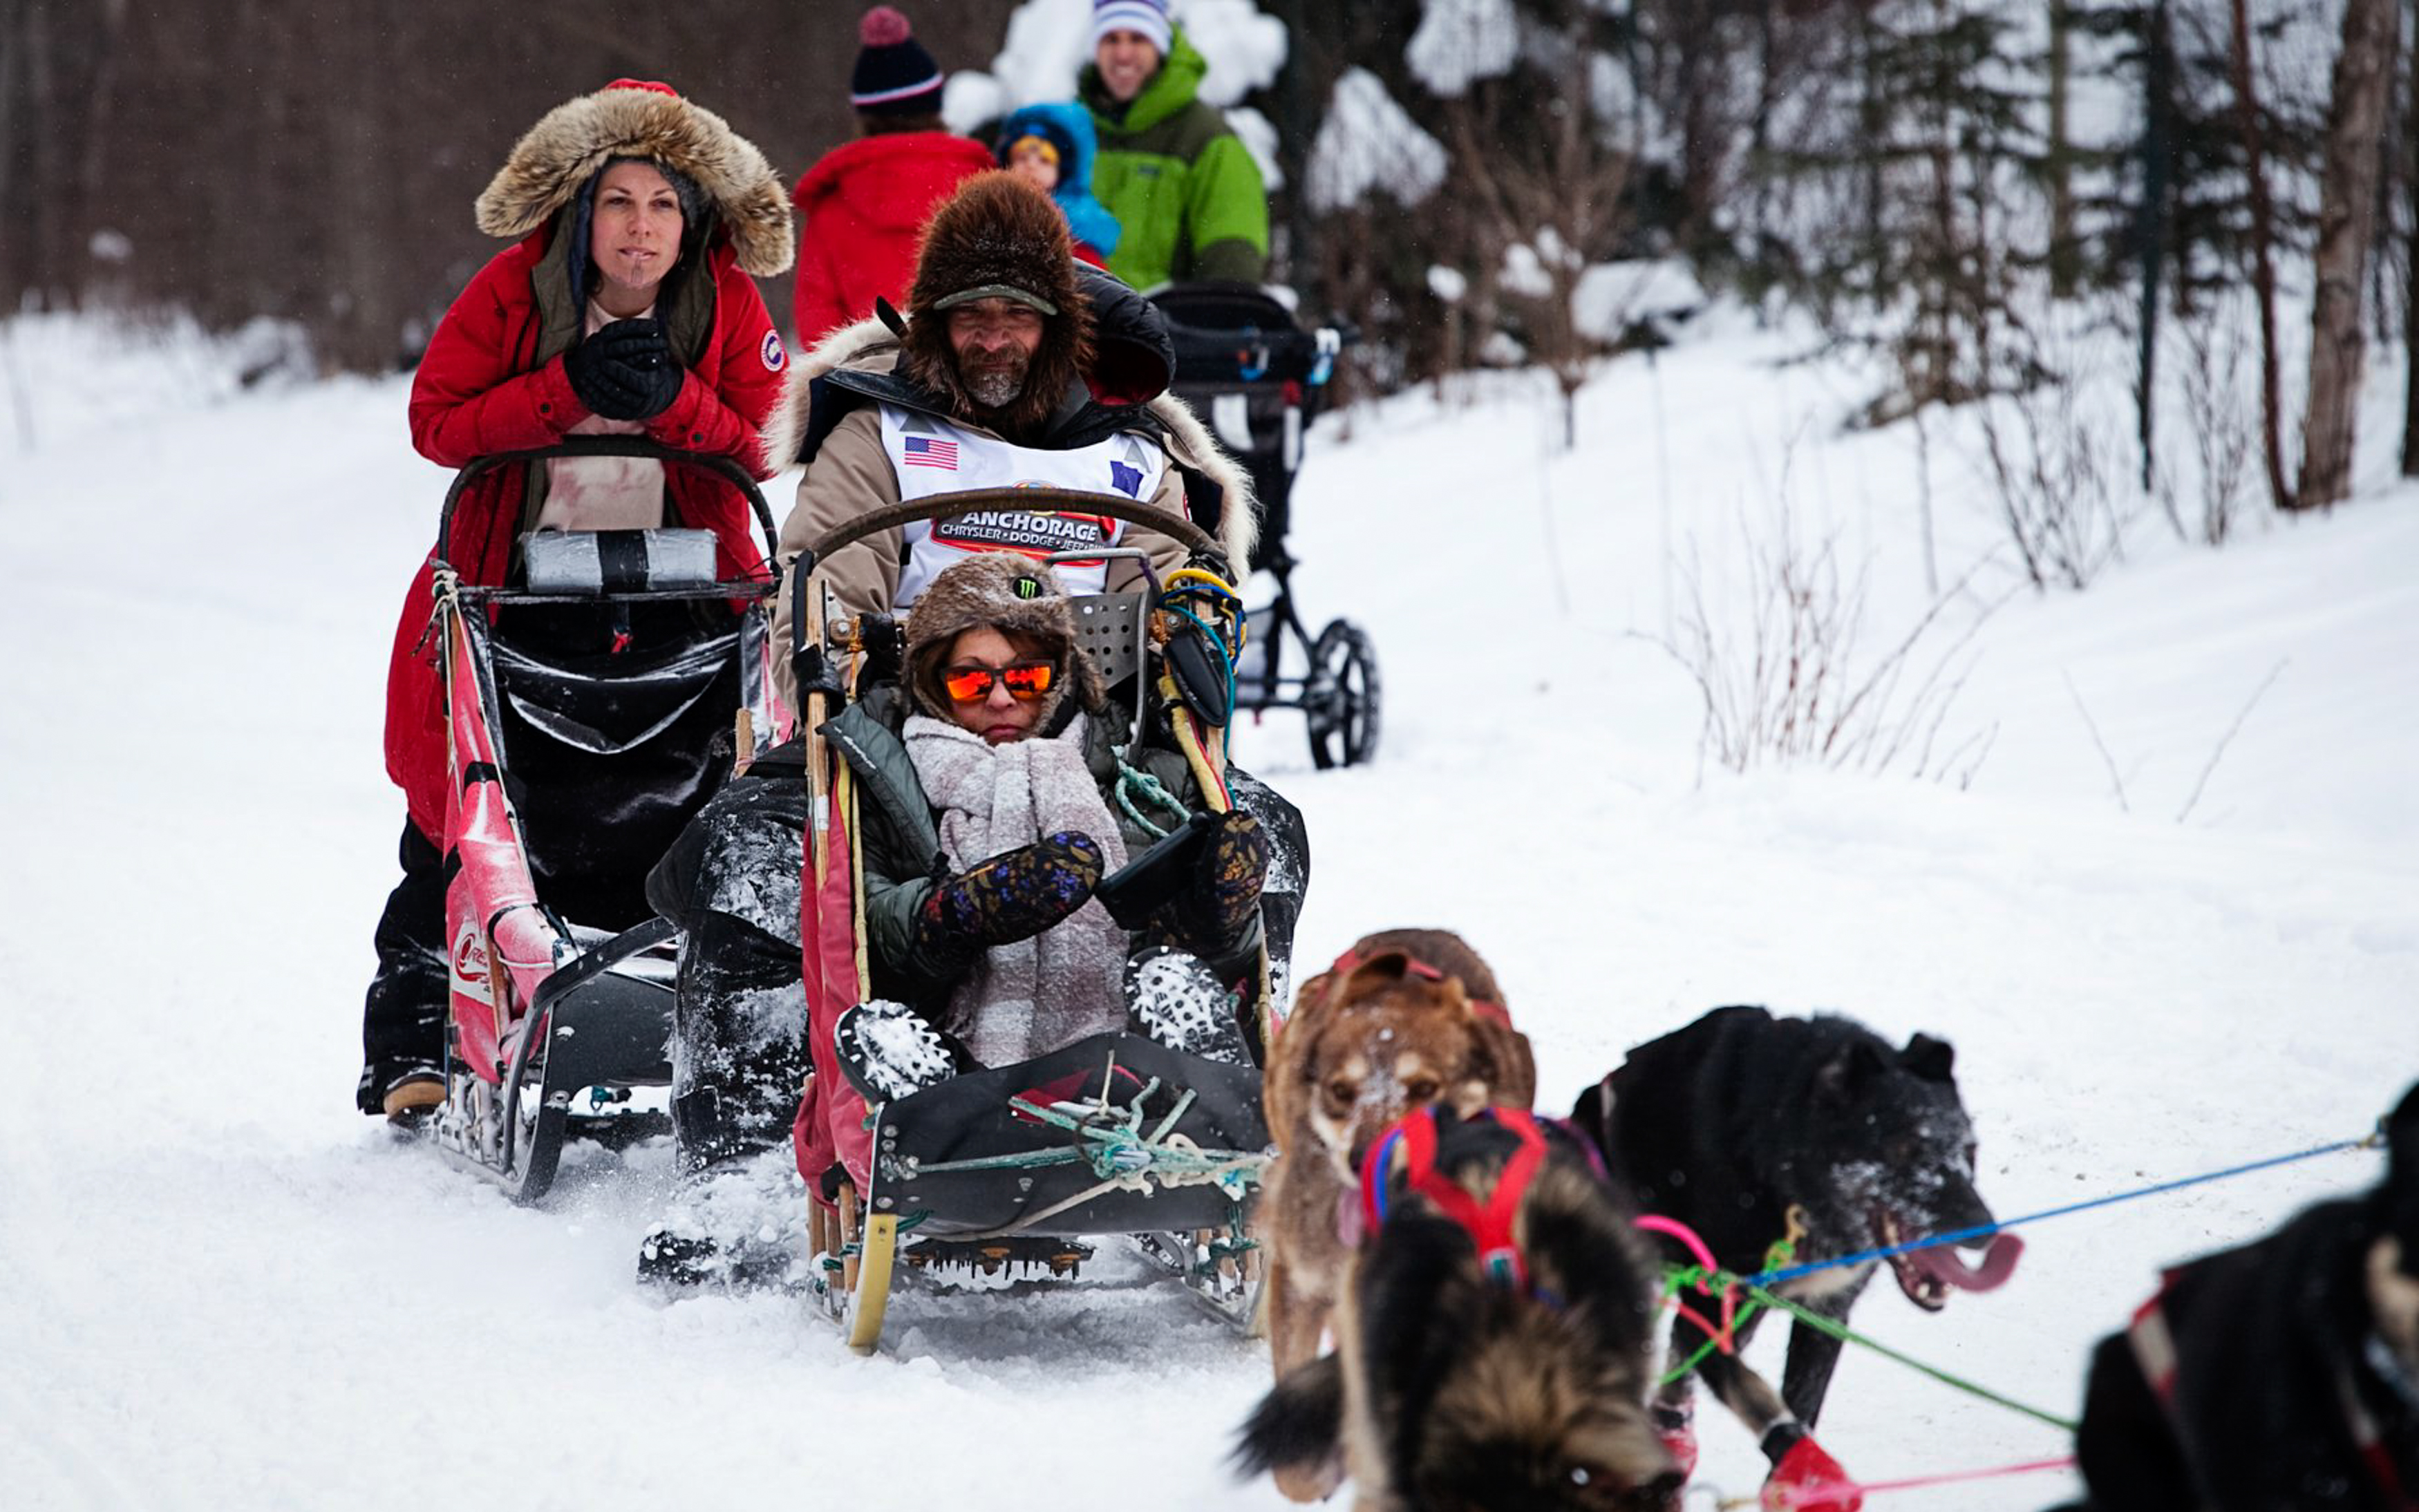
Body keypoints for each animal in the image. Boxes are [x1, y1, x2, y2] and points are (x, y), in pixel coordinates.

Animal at [1568, 1006, 2022, 1480]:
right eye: (1906, 1147)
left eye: (1969, 1150)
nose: (1984, 1230)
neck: (1786, 1185)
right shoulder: (1709, 1308)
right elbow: (1748, 1387)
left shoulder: (1826, 1312)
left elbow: (1802, 1406)